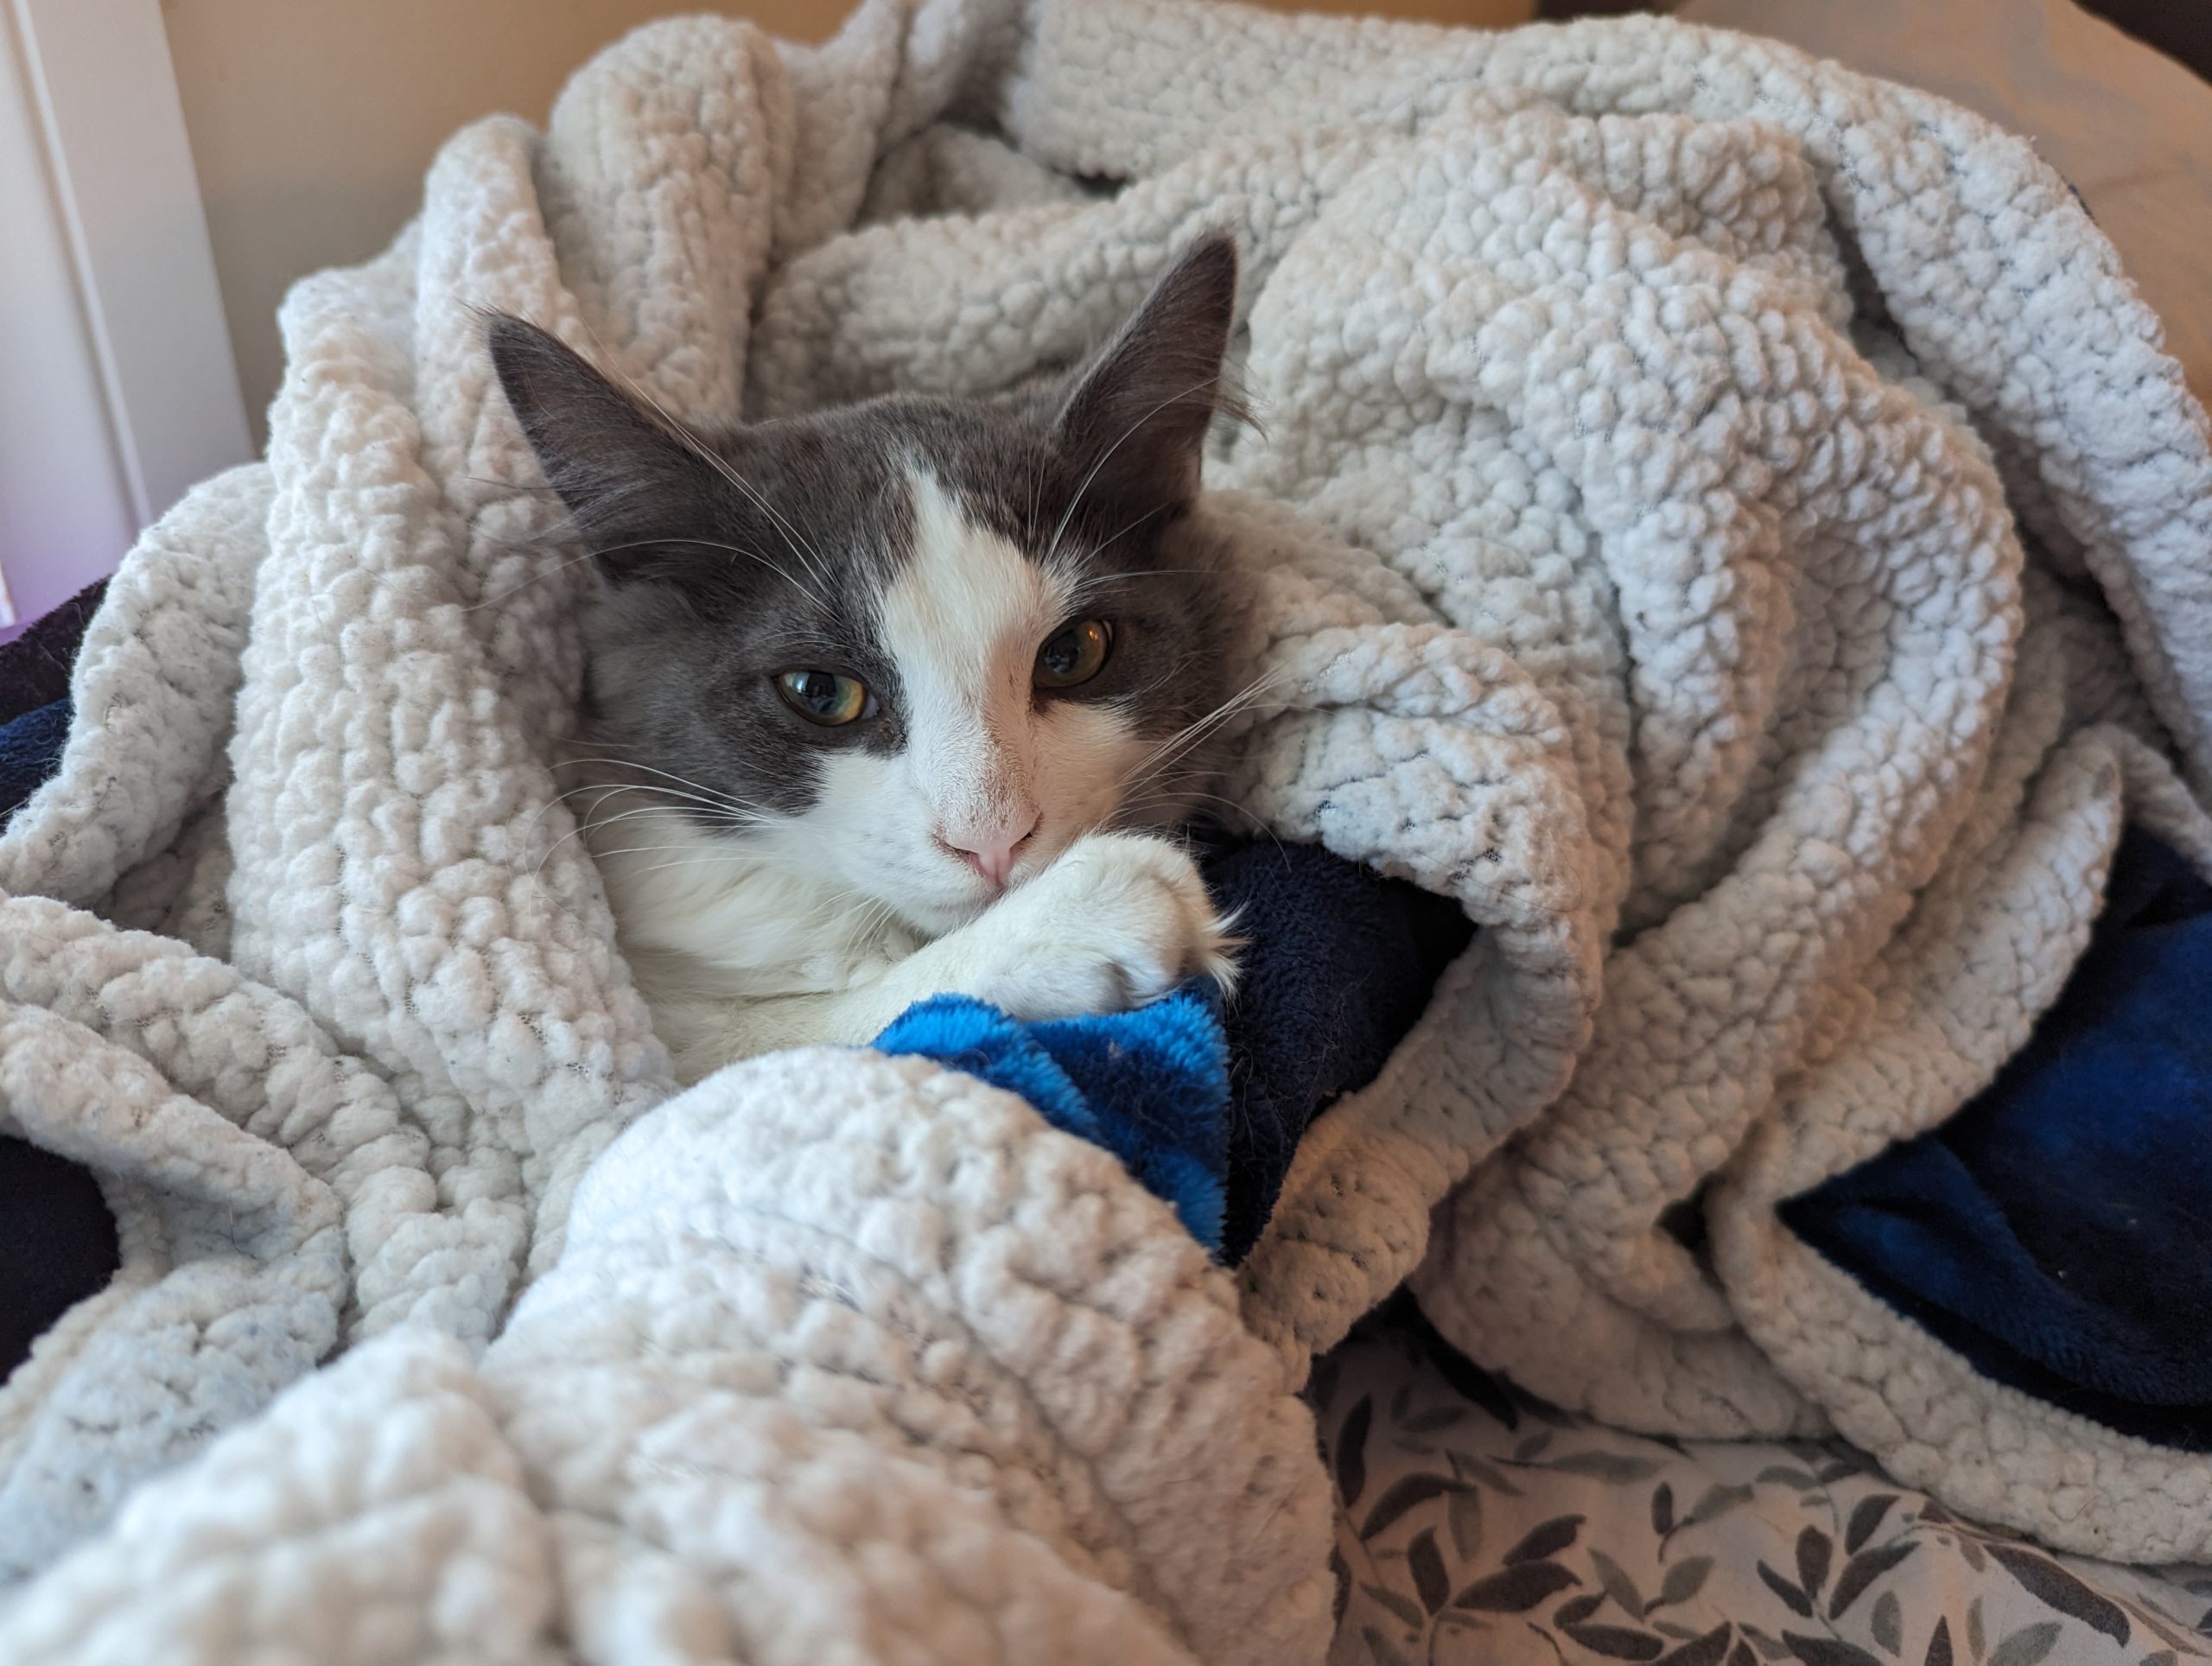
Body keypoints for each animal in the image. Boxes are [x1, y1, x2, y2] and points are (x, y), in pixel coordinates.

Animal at [489, 234, 1257, 1083]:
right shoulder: (663, 1031)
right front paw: (1074, 917)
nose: (992, 839)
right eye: (821, 692)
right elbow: (791, 1045)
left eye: (1073, 653)